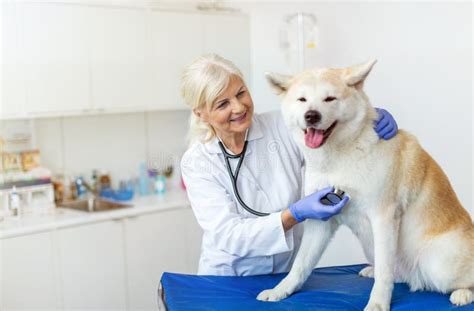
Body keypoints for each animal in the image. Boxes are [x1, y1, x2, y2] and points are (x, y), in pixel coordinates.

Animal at [258, 59, 472, 310]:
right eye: (302, 99)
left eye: (329, 99)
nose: (311, 115)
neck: (340, 157)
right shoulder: (320, 219)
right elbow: (300, 265)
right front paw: (280, 290)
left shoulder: (383, 217)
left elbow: (384, 274)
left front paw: (378, 303)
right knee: (394, 272)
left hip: (438, 265)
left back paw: (462, 294)